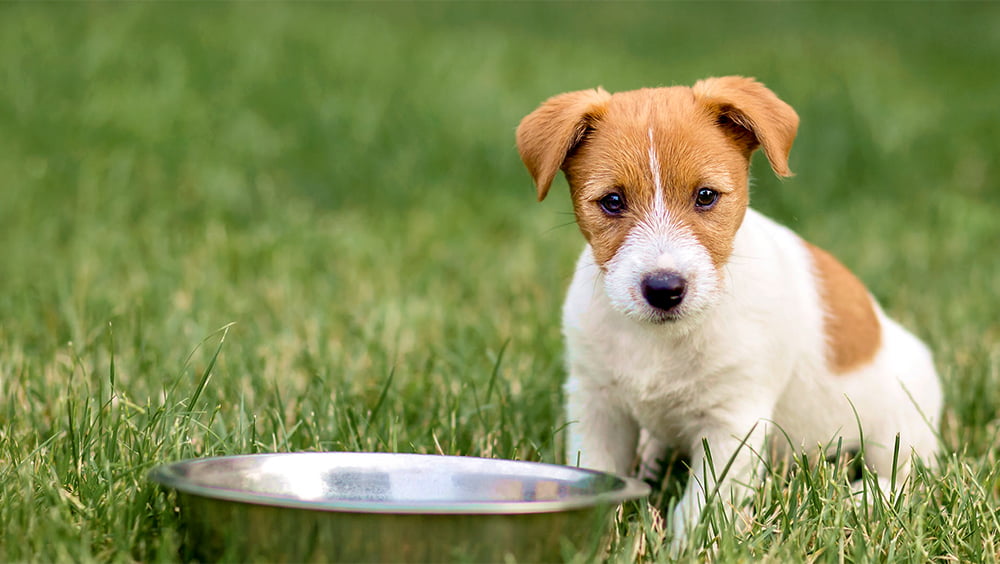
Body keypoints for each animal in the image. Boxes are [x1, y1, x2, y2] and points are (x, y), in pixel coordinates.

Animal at [520, 77, 940, 544]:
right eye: (612, 201)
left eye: (706, 196)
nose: (664, 288)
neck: (661, 340)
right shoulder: (598, 406)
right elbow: (599, 471)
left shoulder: (732, 422)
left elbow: (702, 504)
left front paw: (686, 545)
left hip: (901, 425)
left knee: (906, 478)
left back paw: (861, 498)